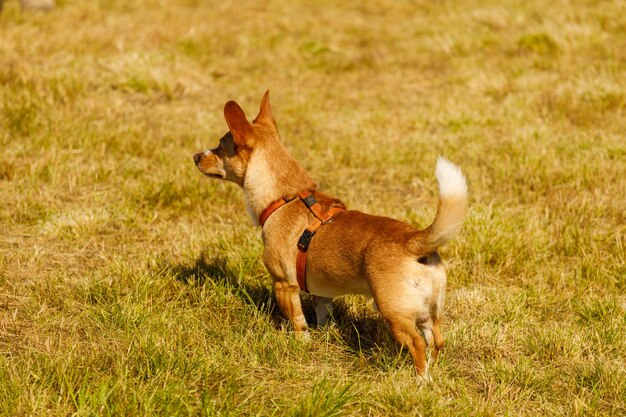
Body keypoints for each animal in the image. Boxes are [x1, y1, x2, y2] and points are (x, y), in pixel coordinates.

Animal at [193, 91, 466, 380]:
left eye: (220, 147)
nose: (195, 156)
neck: (285, 197)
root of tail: (414, 241)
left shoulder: (284, 285)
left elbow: (298, 322)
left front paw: (301, 344)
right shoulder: (321, 292)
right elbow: (322, 313)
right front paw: (322, 333)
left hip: (394, 311)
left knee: (417, 343)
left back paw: (420, 379)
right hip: (430, 311)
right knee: (436, 339)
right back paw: (433, 371)